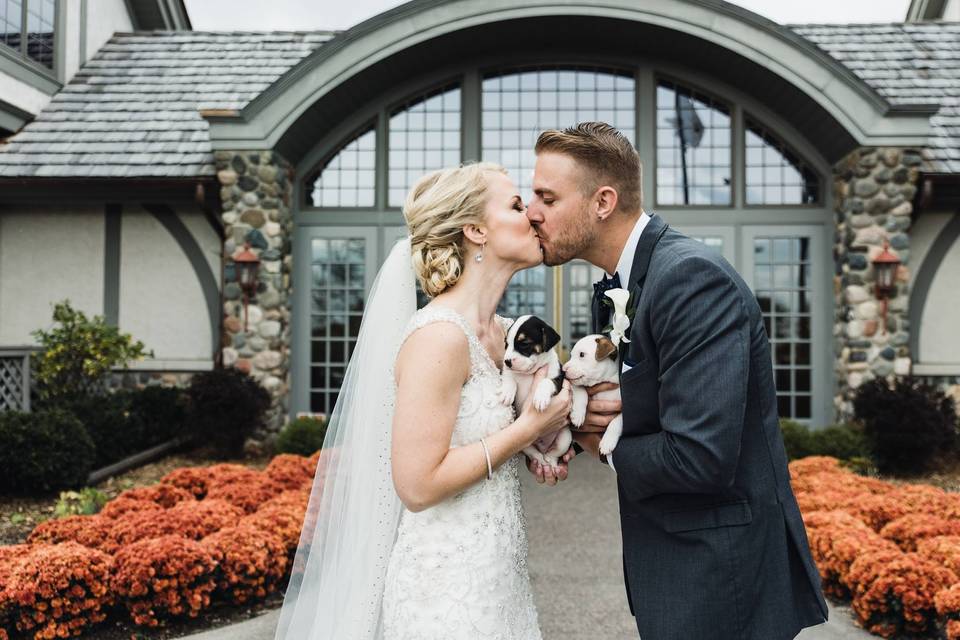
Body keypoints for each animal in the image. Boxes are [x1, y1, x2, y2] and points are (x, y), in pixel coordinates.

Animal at [496, 316, 568, 470]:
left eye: (524, 344)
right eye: (506, 344)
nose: (507, 361)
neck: (529, 373)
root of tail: (542, 445)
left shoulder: (558, 378)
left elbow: (546, 381)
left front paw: (540, 399)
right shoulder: (508, 372)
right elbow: (508, 376)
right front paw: (507, 391)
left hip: (565, 437)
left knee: (554, 453)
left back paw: (550, 462)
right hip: (522, 441)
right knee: (534, 453)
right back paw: (540, 460)